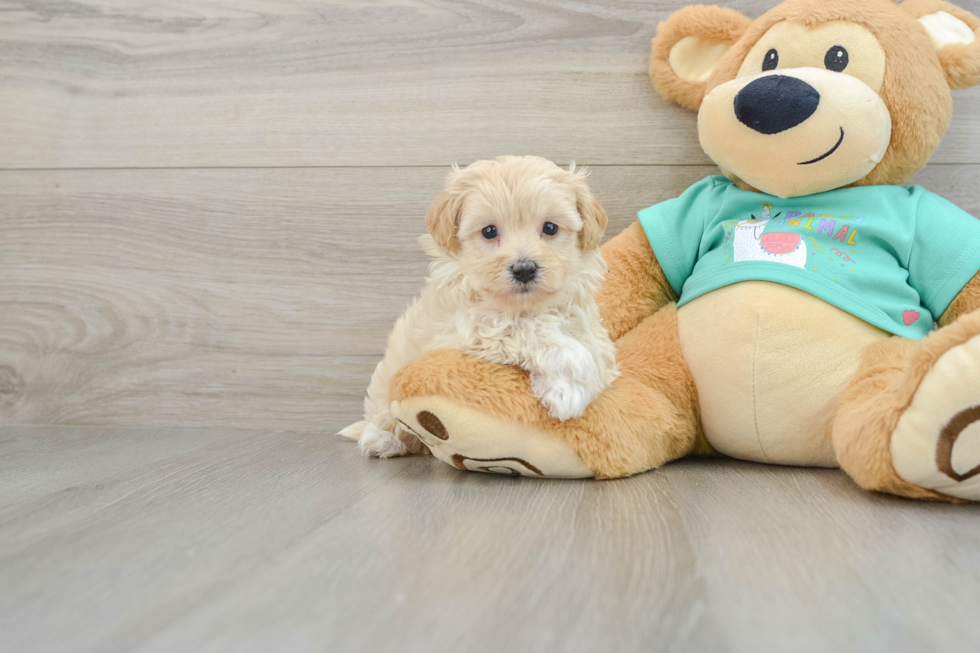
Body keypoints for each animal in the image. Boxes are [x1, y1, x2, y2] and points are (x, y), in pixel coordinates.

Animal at [340, 155, 620, 456]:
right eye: (489, 231)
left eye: (550, 228)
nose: (524, 269)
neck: (525, 307)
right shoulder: (463, 333)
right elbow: (522, 330)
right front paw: (573, 361)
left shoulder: (589, 327)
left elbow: (596, 359)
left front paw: (565, 391)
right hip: (386, 383)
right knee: (380, 416)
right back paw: (381, 440)